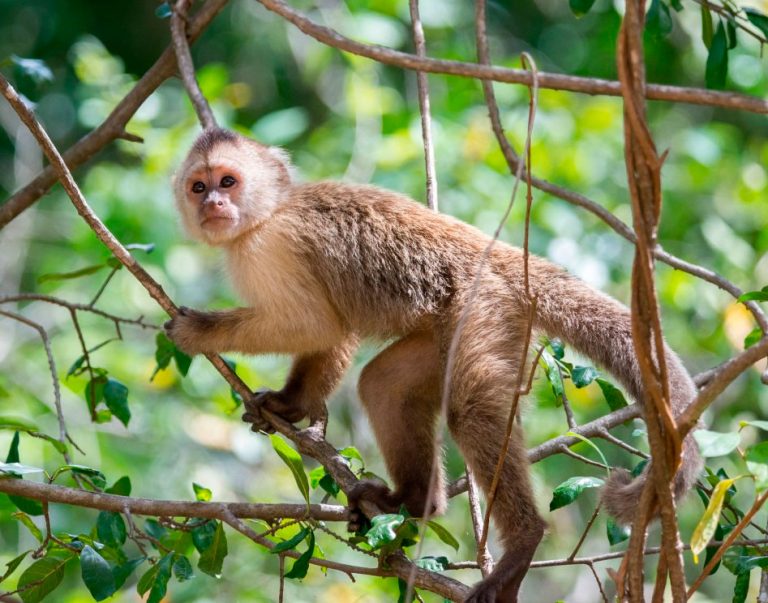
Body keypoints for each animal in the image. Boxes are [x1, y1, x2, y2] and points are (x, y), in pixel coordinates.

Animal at [166, 129, 704, 603]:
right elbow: (335, 331)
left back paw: (521, 544)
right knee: (383, 385)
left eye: (228, 182)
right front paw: (290, 404)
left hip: (483, 306)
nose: (213, 206)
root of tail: (509, 260)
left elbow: (311, 322)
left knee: (470, 411)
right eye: (199, 187)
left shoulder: (271, 247)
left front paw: (201, 333)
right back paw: (413, 502)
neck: (269, 214)